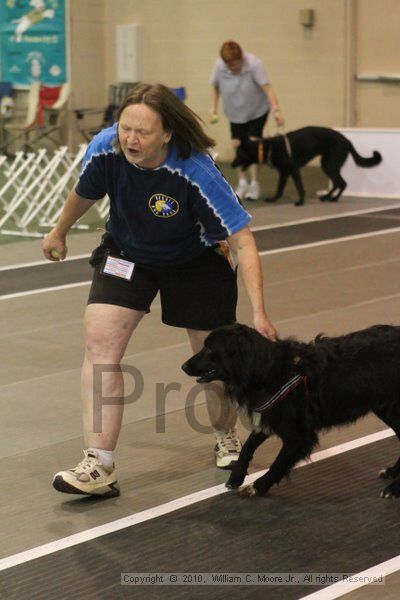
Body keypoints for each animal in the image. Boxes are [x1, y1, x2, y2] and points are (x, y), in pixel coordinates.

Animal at [182, 326, 400, 500]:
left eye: (210, 348)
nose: (183, 366)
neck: (269, 372)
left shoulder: (299, 437)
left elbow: (278, 464)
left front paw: (257, 487)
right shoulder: (269, 415)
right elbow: (248, 447)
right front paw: (236, 475)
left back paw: (394, 489)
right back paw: (392, 472)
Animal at [233, 125, 382, 205]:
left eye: (239, 155)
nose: (232, 165)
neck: (267, 148)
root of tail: (347, 140)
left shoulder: (293, 170)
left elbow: (299, 187)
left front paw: (300, 201)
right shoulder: (285, 173)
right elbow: (280, 188)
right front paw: (274, 199)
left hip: (328, 165)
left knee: (340, 183)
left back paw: (329, 197)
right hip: (329, 165)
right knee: (341, 183)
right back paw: (330, 197)